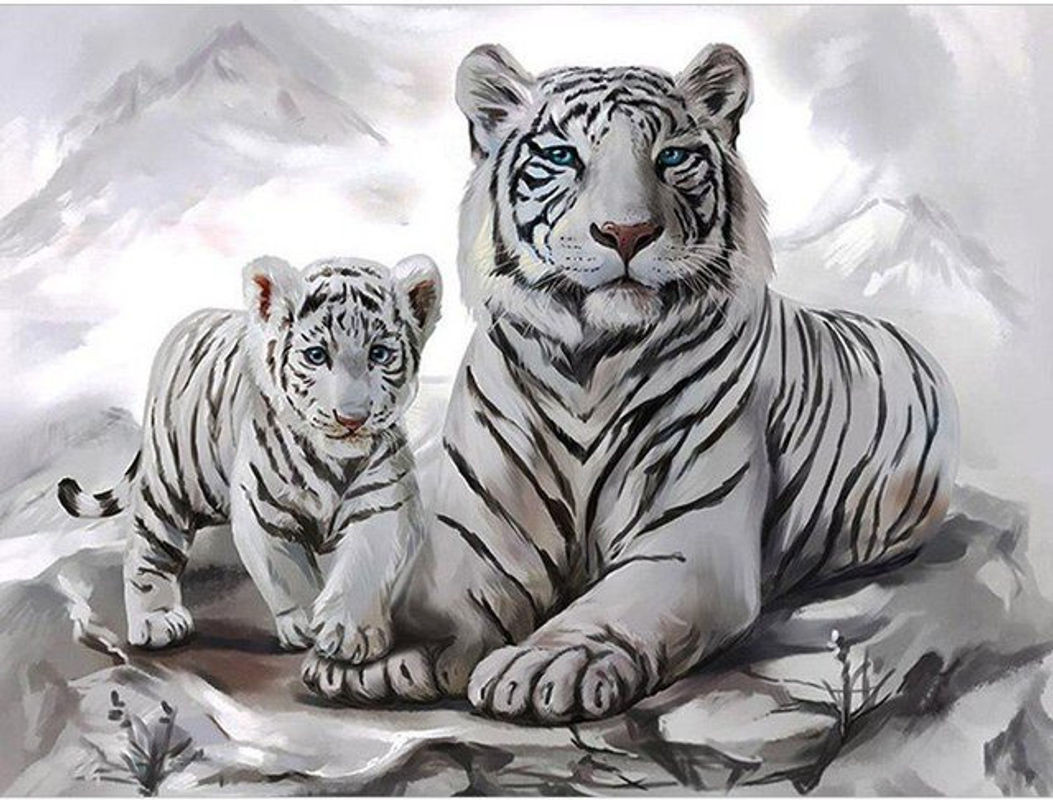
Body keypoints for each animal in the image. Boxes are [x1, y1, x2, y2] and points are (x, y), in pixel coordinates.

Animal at [57, 253, 442, 661]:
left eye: (379, 354)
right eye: (317, 355)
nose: (351, 419)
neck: (335, 461)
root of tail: (189, 325)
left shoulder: (385, 505)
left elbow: (365, 567)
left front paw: (352, 633)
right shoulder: (264, 509)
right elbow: (289, 572)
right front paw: (306, 624)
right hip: (169, 483)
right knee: (147, 547)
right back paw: (157, 621)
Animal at [300, 43, 958, 724]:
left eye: (670, 156)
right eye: (563, 156)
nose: (626, 233)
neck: (588, 364)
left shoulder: (688, 537)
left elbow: (614, 606)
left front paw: (549, 663)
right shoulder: (477, 527)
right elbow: (440, 591)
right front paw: (382, 650)